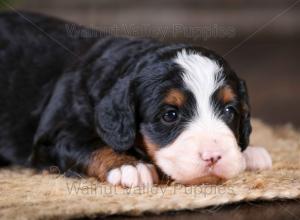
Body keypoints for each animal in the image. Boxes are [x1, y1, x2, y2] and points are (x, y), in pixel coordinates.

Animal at [0, 11, 272, 187]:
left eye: (229, 111)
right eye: (170, 115)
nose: (214, 156)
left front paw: (249, 153)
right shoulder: (54, 136)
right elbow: (89, 144)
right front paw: (128, 166)